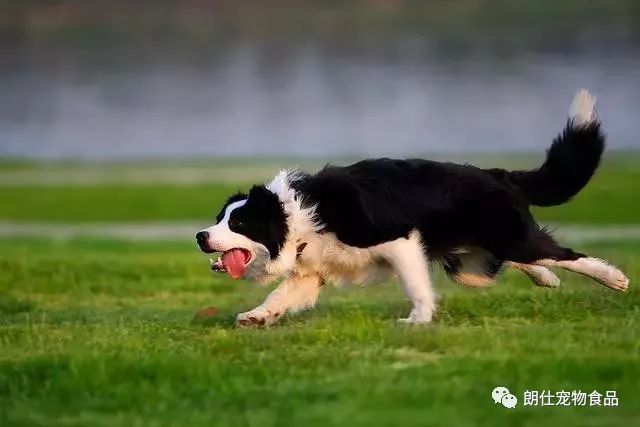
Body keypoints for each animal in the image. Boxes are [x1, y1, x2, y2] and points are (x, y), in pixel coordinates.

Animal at [195, 88, 632, 326]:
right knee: (513, 260)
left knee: (562, 253)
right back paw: (546, 279)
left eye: (239, 222)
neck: (296, 216)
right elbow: (280, 296)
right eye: (219, 219)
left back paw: (614, 279)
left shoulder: (398, 239)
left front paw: (417, 321)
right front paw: (255, 317)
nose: (200, 236)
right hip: (471, 263)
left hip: (506, 237)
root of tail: (500, 174)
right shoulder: (310, 269)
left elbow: (416, 284)